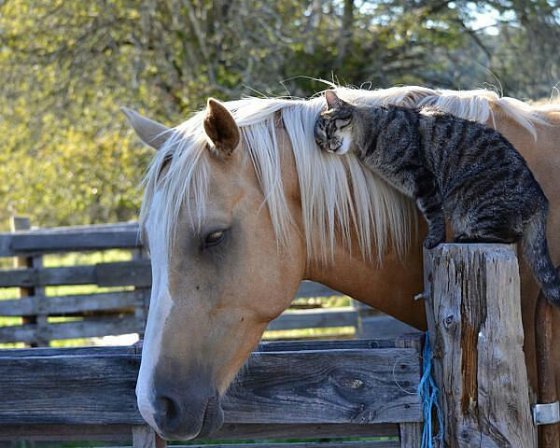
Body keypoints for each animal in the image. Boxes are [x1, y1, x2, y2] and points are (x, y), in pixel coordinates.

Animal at [316, 88, 560, 304]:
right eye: (320, 141)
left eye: (331, 126)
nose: (328, 145)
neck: (370, 136)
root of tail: (541, 199)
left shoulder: (423, 178)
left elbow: (433, 214)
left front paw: (434, 239)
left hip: (472, 201)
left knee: (509, 236)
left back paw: (467, 237)